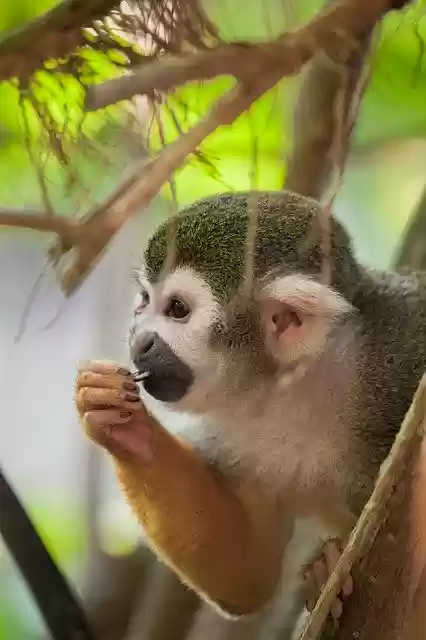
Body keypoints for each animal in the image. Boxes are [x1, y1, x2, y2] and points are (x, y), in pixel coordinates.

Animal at [75, 190, 426, 633]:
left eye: (177, 309)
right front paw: (121, 427)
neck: (302, 383)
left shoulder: (402, 349)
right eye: (144, 301)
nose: (139, 341)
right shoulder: (236, 429)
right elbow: (248, 575)